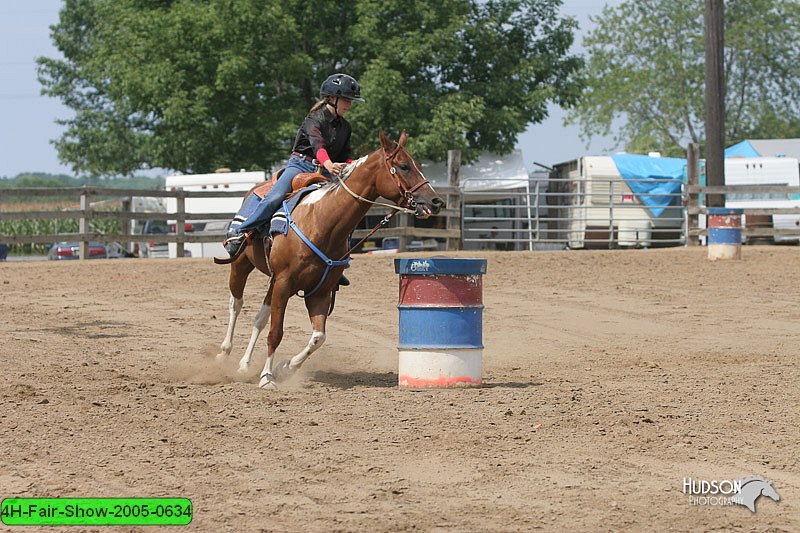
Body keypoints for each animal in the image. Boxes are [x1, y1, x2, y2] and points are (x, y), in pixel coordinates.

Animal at [216, 129, 446, 386]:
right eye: (404, 166)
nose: (436, 202)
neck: (321, 221)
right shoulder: (285, 282)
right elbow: (276, 332)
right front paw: (267, 377)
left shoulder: (320, 291)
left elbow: (319, 337)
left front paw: (286, 367)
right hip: (242, 265)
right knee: (236, 304)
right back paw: (224, 353)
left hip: (273, 281)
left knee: (259, 318)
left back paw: (244, 365)